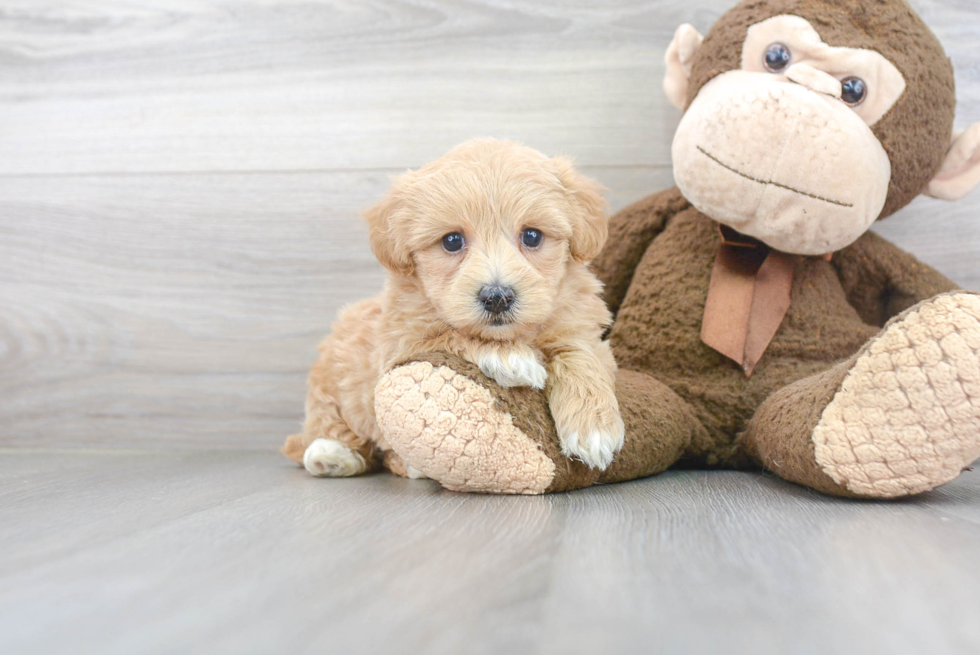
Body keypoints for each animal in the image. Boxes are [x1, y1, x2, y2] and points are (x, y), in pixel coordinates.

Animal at [280, 137, 624, 476]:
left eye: (531, 235)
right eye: (452, 241)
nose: (497, 297)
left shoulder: (581, 325)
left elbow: (578, 353)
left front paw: (595, 428)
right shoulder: (399, 343)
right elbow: (450, 335)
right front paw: (511, 358)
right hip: (330, 383)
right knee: (321, 431)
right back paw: (333, 455)